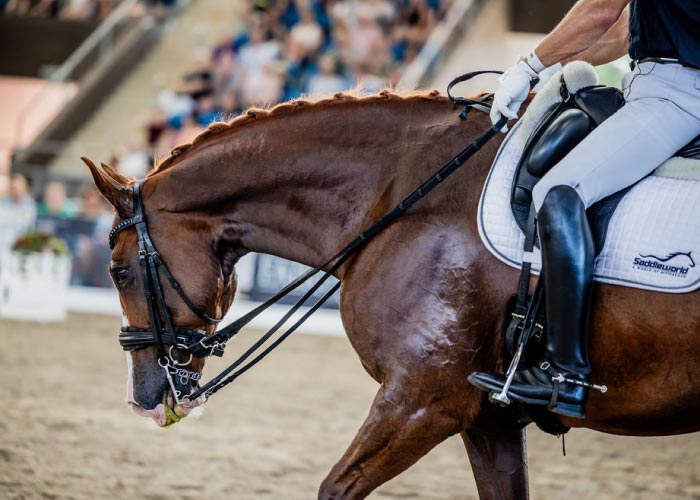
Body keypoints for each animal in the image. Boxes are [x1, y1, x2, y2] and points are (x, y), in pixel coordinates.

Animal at [85, 91, 700, 500]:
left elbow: (335, 489)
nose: (142, 398)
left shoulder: (422, 401)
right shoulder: (488, 420)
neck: (403, 196)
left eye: (120, 272)